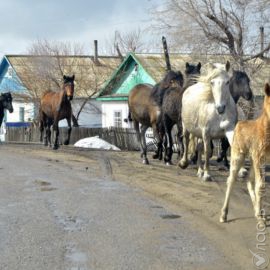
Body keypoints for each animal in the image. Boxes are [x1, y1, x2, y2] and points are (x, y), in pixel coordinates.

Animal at [219, 83, 270, 226]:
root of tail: (238, 124)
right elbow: (261, 185)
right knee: (231, 179)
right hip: (239, 155)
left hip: (253, 158)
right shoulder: (259, 156)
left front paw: (260, 216)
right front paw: (260, 220)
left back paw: (259, 213)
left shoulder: (261, 158)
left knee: (249, 180)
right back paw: (224, 215)